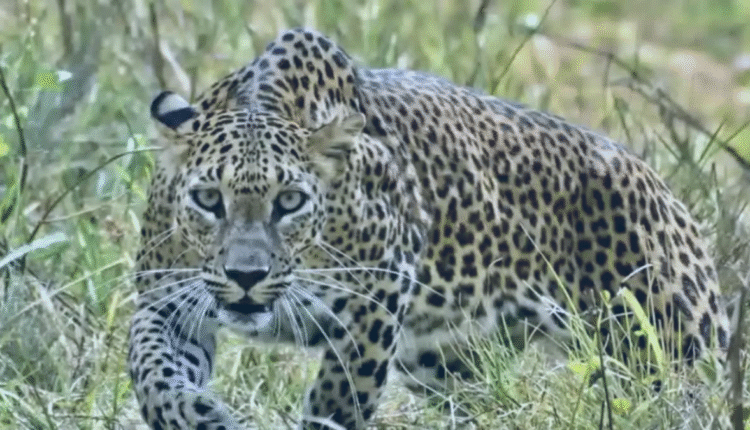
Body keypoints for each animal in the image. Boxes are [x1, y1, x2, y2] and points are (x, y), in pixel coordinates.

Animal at [128, 28, 730, 430]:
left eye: (290, 202)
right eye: (209, 199)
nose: (246, 277)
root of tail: (665, 189)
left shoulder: (375, 301)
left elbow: (338, 399)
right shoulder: (167, 300)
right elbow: (153, 370)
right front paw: (196, 414)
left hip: (668, 353)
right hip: (445, 361)